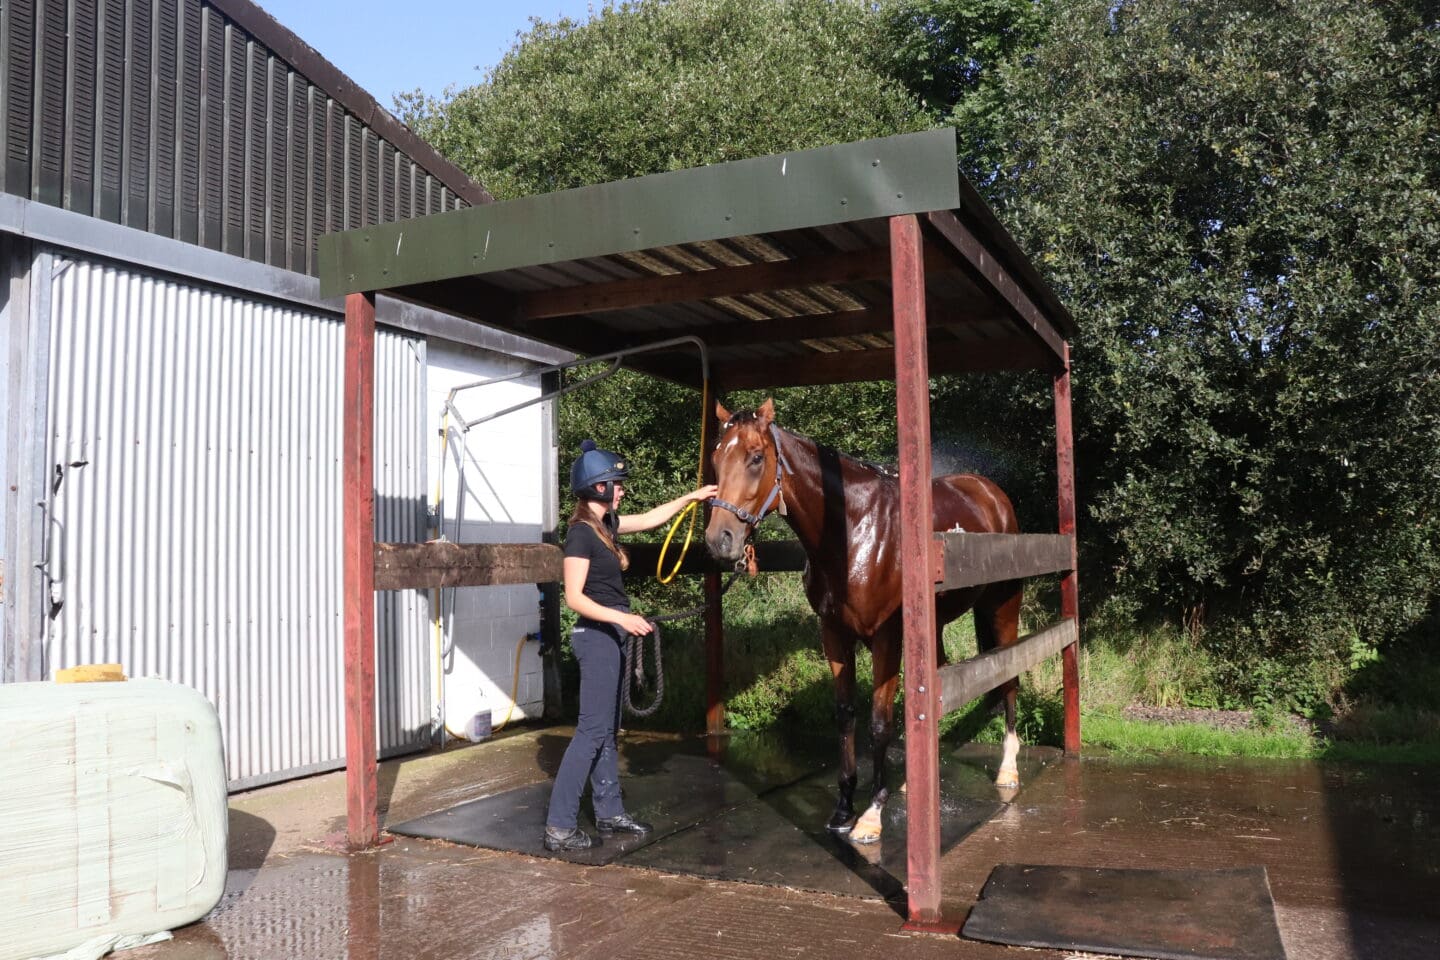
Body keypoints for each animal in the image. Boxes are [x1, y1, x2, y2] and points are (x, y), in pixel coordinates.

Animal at [705, 399, 1024, 844]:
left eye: (755, 457)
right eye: (716, 458)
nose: (720, 540)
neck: (854, 533)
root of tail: (992, 494)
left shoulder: (886, 639)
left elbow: (878, 722)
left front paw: (872, 814)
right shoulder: (835, 636)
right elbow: (845, 714)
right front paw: (843, 807)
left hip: (1003, 610)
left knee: (1009, 677)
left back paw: (1008, 769)